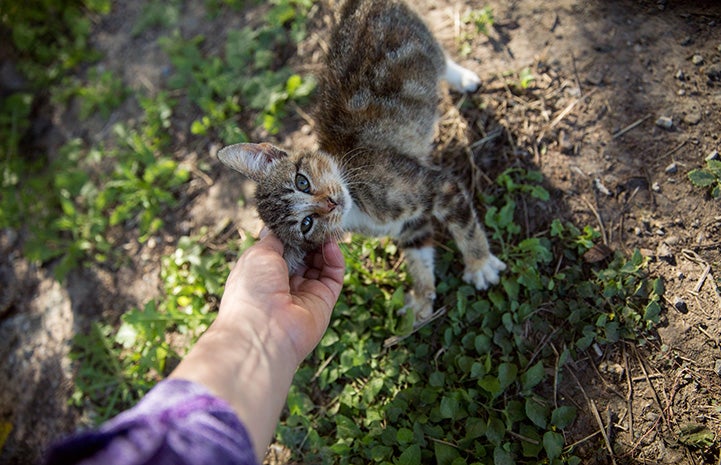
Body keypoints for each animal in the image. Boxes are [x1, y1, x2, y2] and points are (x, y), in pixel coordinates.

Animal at [217, 0, 504, 320]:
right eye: (306, 224)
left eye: (302, 181)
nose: (330, 202)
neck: (358, 205)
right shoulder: (409, 225)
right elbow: (418, 253)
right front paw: (421, 298)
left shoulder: (438, 186)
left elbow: (465, 226)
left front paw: (479, 264)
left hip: (419, 41)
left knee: (441, 59)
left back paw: (463, 78)